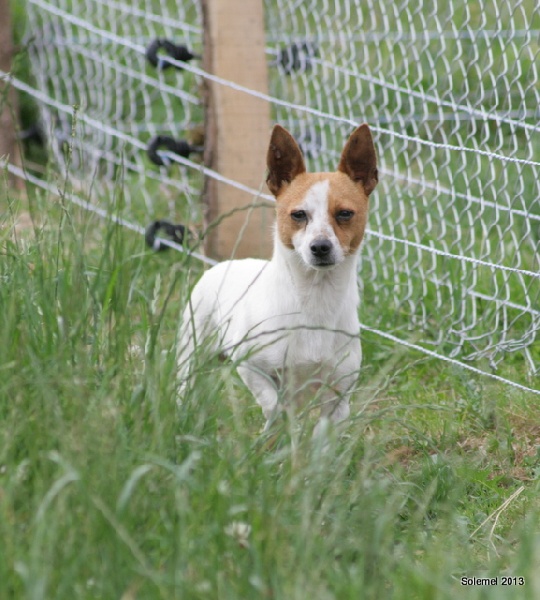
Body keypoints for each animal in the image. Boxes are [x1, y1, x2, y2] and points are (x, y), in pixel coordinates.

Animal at [178, 124, 378, 431]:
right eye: (298, 215)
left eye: (345, 214)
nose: (320, 247)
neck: (314, 298)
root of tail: (222, 265)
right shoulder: (250, 365)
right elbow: (274, 405)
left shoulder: (338, 397)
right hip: (193, 348)